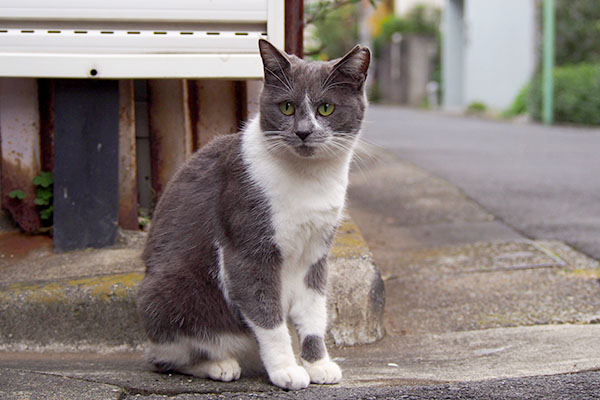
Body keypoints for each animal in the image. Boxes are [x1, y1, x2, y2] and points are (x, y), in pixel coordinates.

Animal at [137, 39, 370, 390]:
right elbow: (267, 316)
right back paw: (219, 364)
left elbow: (314, 314)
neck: (309, 180)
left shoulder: (316, 253)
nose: (303, 131)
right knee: (167, 357)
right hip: (168, 292)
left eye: (326, 108)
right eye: (286, 107)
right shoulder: (247, 247)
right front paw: (286, 369)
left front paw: (318, 364)